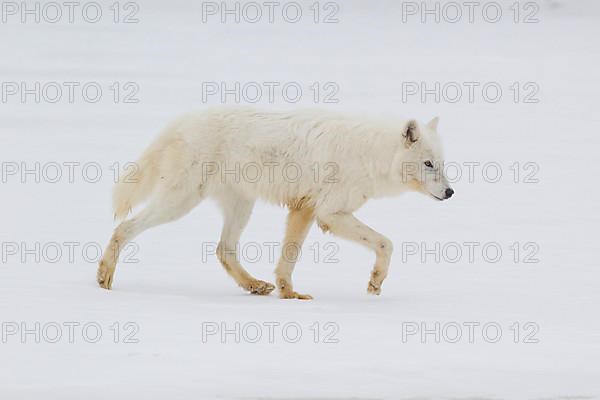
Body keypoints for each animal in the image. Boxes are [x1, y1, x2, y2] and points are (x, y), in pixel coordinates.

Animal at [97, 108, 454, 298]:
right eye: (428, 164)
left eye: (441, 163)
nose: (451, 193)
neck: (371, 153)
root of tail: (181, 121)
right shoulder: (329, 214)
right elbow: (386, 243)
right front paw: (375, 282)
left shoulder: (304, 210)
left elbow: (287, 261)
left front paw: (289, 293)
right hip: (181, 202)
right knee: (124, 227)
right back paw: (104, 277)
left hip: (240, 206)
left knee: (223, 249)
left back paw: (255, 285)